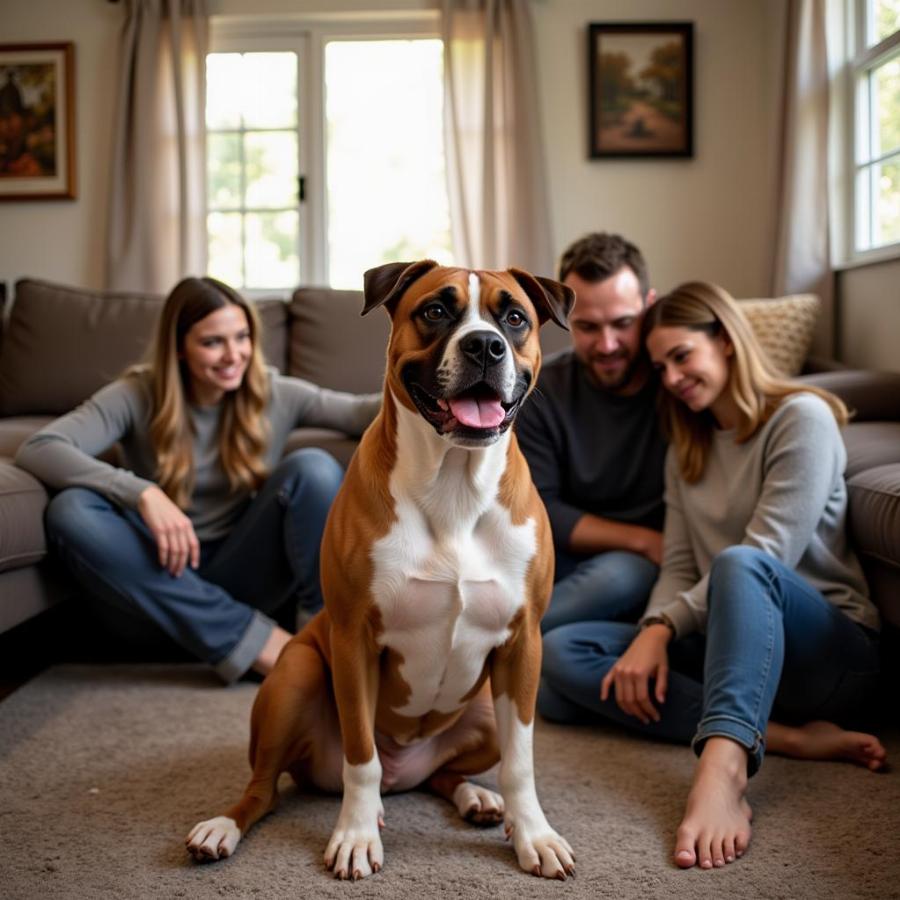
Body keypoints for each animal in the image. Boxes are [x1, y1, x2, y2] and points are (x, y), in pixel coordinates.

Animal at [186, 258, 576, 880]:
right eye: (435, 311)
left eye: (514, 318)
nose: (485, 346)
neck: (454, 484)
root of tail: (405, 773)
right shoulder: (353, 642)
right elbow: (361, 756)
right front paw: (355, 835)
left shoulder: (523, 648)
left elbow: (521, 762)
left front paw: (533, 835)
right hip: (296, 676)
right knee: (264, 788)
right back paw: (222, 827)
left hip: (485, 712)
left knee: (444, 774)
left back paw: (476, 796)